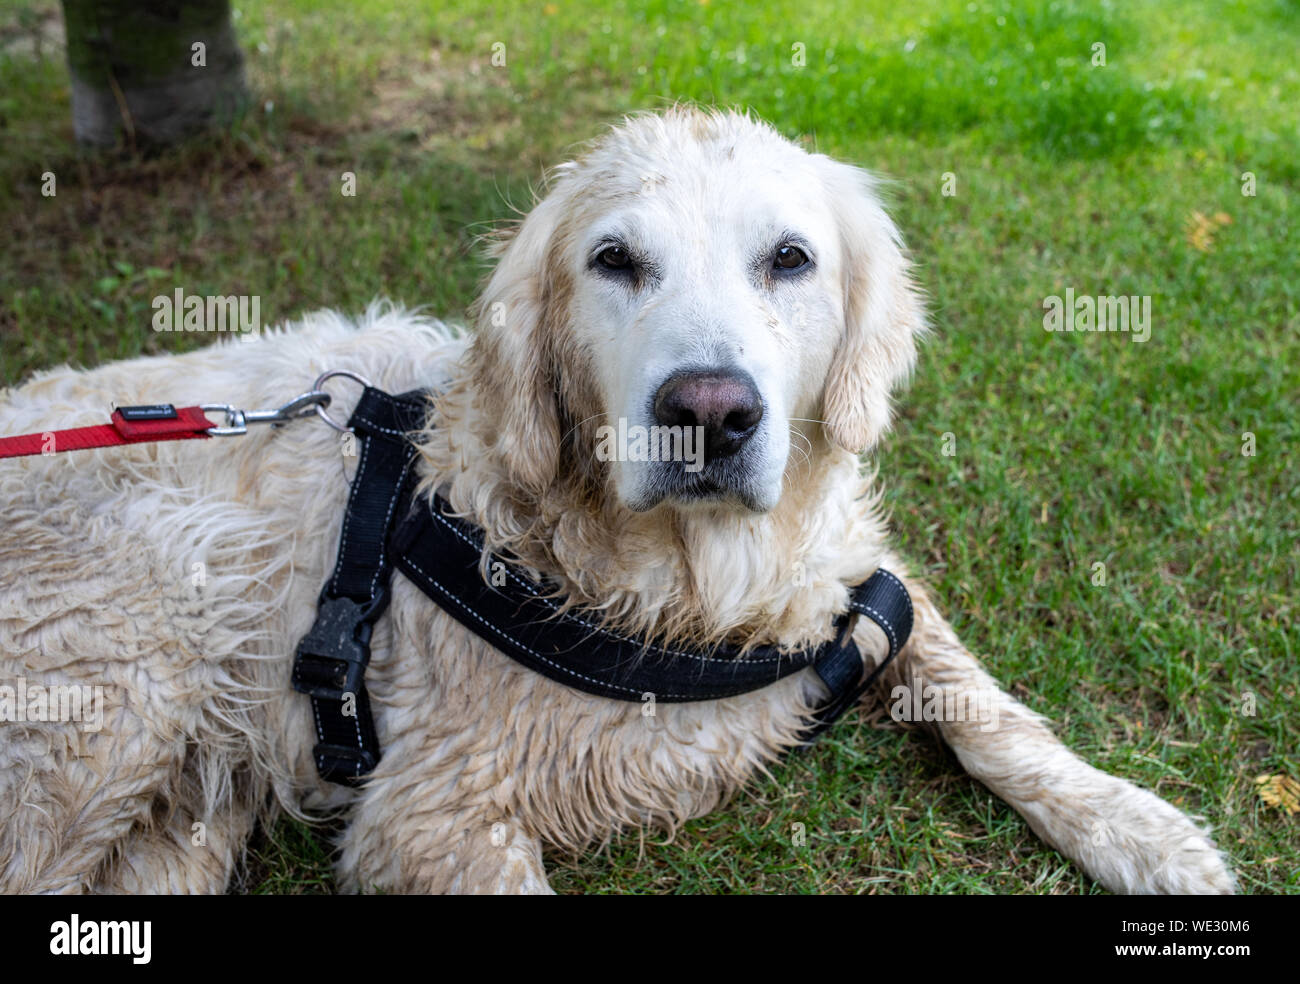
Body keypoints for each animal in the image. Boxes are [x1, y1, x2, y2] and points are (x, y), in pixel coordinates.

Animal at [0, 107, 1227, 889]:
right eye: (614, 261)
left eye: (790, 259)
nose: (711, 412)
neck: (692, 583)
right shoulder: (428, 813)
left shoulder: (859, 578)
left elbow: (986, 710)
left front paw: (1138, 826)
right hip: (147, 647)